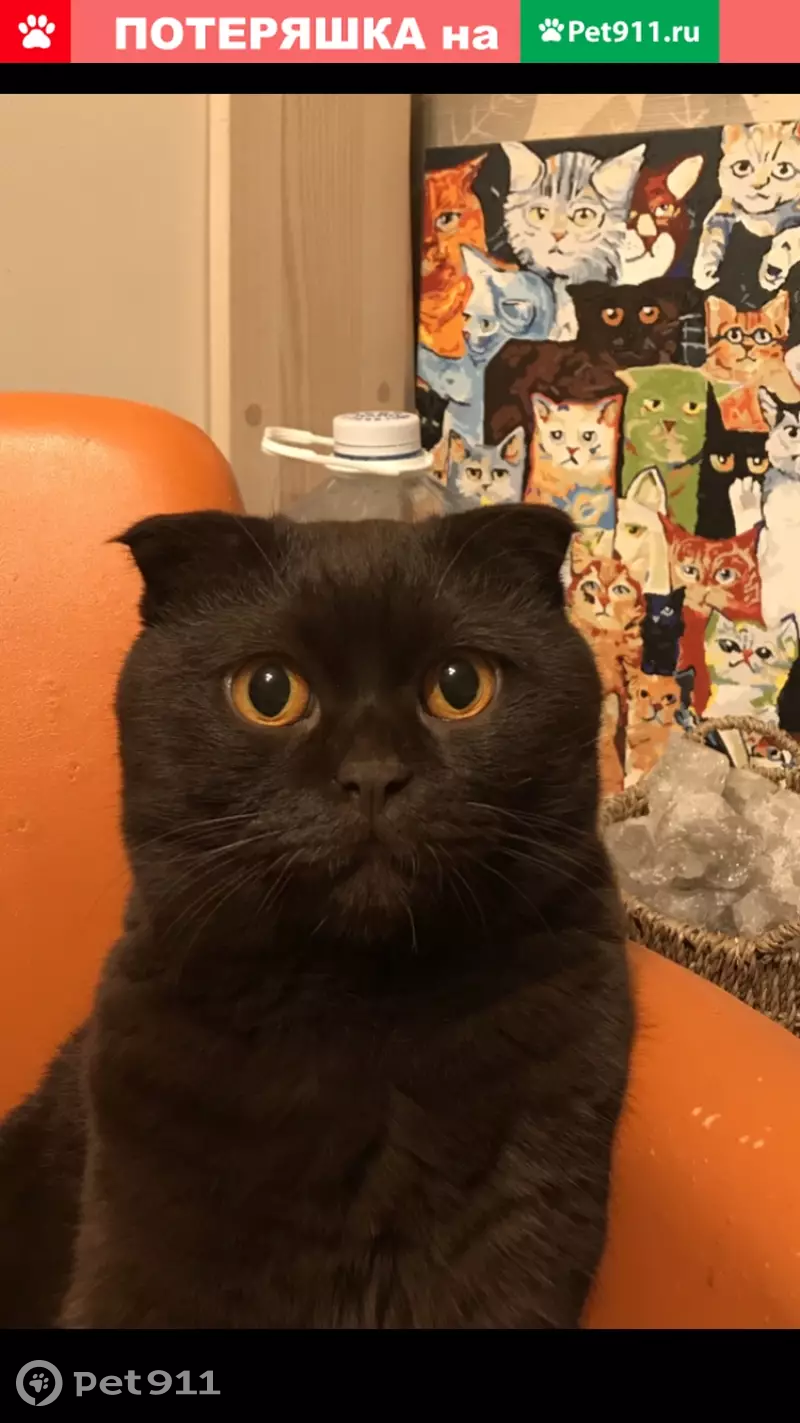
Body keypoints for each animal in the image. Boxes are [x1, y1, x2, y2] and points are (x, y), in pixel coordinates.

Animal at [693, 122, 800, 294]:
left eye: (784, 170)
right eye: (742, 167)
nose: (758, 185)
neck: (763, 215)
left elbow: (788, 238)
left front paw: (772, 269)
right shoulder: (724, 208)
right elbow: (712, 235)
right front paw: (704, 270)